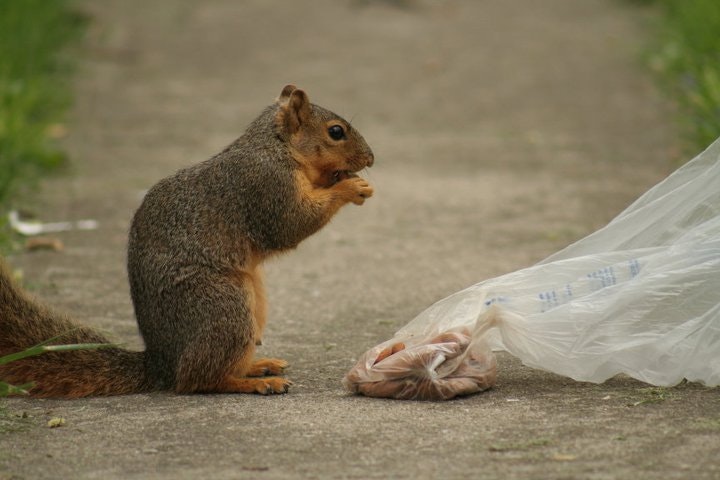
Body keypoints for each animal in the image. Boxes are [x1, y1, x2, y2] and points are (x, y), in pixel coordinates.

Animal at [0, 85, 374, 398]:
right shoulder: (266, 187)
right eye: (336, 131)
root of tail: (161, 364)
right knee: (197, 380)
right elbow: (291, 224)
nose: (370, 158)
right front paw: (349, 186)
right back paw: (256, 383)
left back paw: (259, 365)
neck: (277, 146)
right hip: (221, 307)